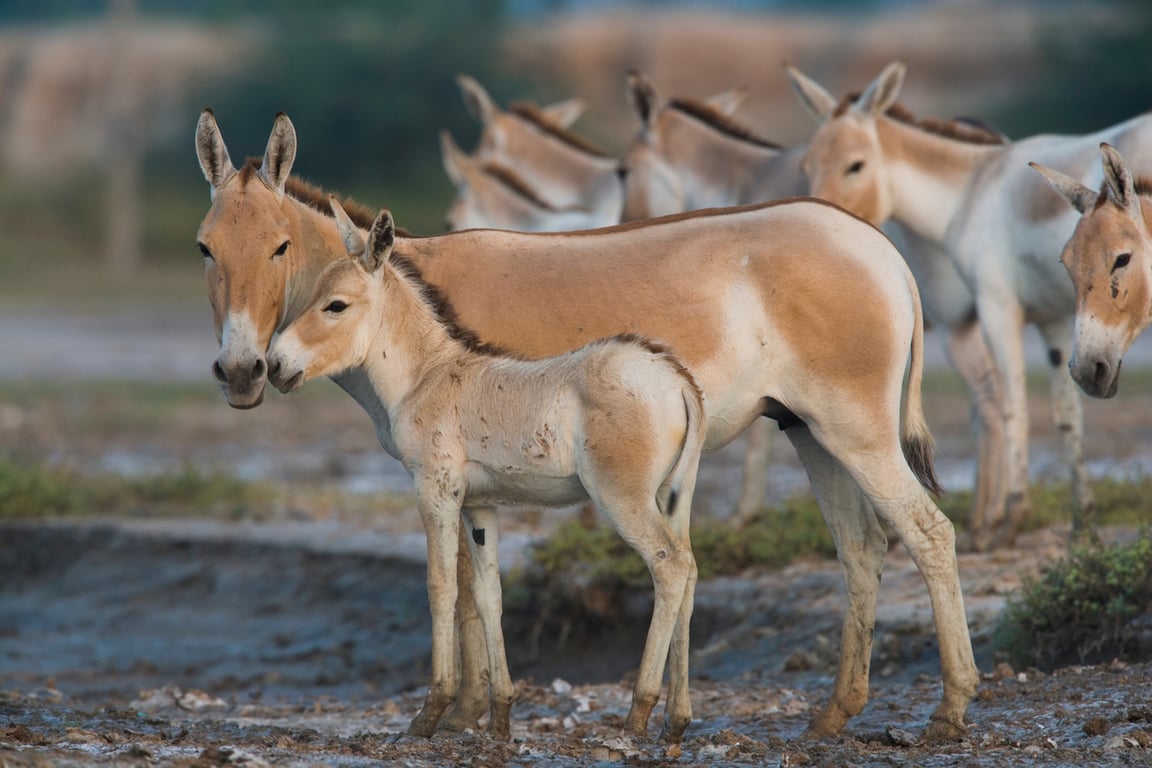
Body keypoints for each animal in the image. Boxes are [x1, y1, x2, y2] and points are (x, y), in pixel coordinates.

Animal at [267, 201, 709, 741]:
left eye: (336, 305)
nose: (274, 365)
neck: (428, 376)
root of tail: (675, 378)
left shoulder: (434, 491)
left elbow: (442, 588)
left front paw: (430, 712)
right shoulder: (481, 505)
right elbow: (487, 594)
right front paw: (500, 716)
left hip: (622, 497)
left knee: (669, 566)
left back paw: (637, 713)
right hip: (672, 494)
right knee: (689, 569)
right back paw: (676, 722)